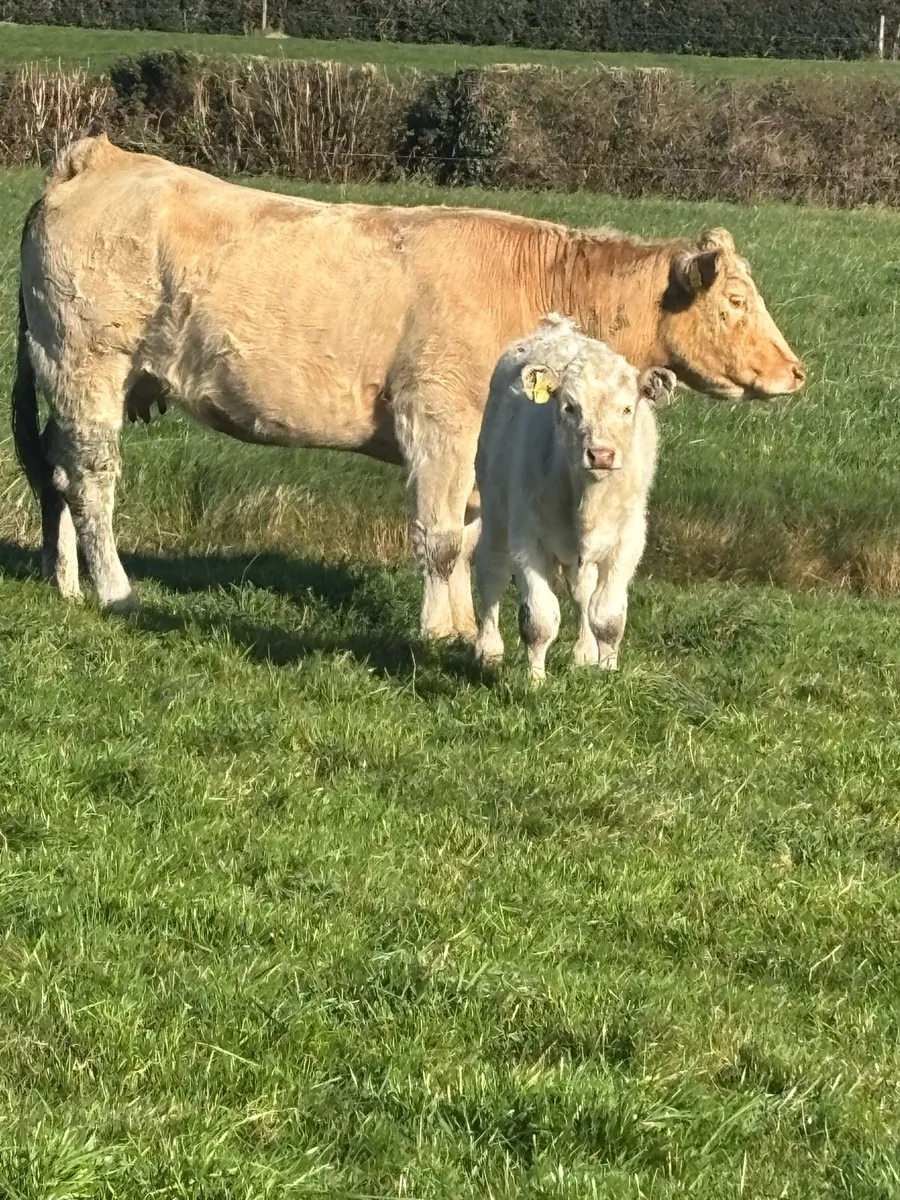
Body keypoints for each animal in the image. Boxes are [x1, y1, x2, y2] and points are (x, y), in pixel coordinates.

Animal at [12, 135, 806, 634]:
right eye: (736, 300)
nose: (795, 371)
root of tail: (100, 157)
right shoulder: (439, 419)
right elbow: (442, 537)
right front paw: (439, 631)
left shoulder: (479, 447)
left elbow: (471, 533)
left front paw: (459, 623)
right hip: (87, 364)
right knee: (92, 477)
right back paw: (115, 589)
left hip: (91, 379)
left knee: (57, 471)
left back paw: (66, 582)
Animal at [475, 314, 675, 680]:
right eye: (570, 407)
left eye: (627, 409)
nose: (601, 454)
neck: (586, 499)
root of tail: (559, 328)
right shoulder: (528, 540)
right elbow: (539, 620)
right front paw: (535, 680)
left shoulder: (627, 541)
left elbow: (608, 617)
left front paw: (607, 671)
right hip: (494, 508)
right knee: (491, 572)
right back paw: (488, 650)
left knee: (584, 592)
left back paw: (584, 653)